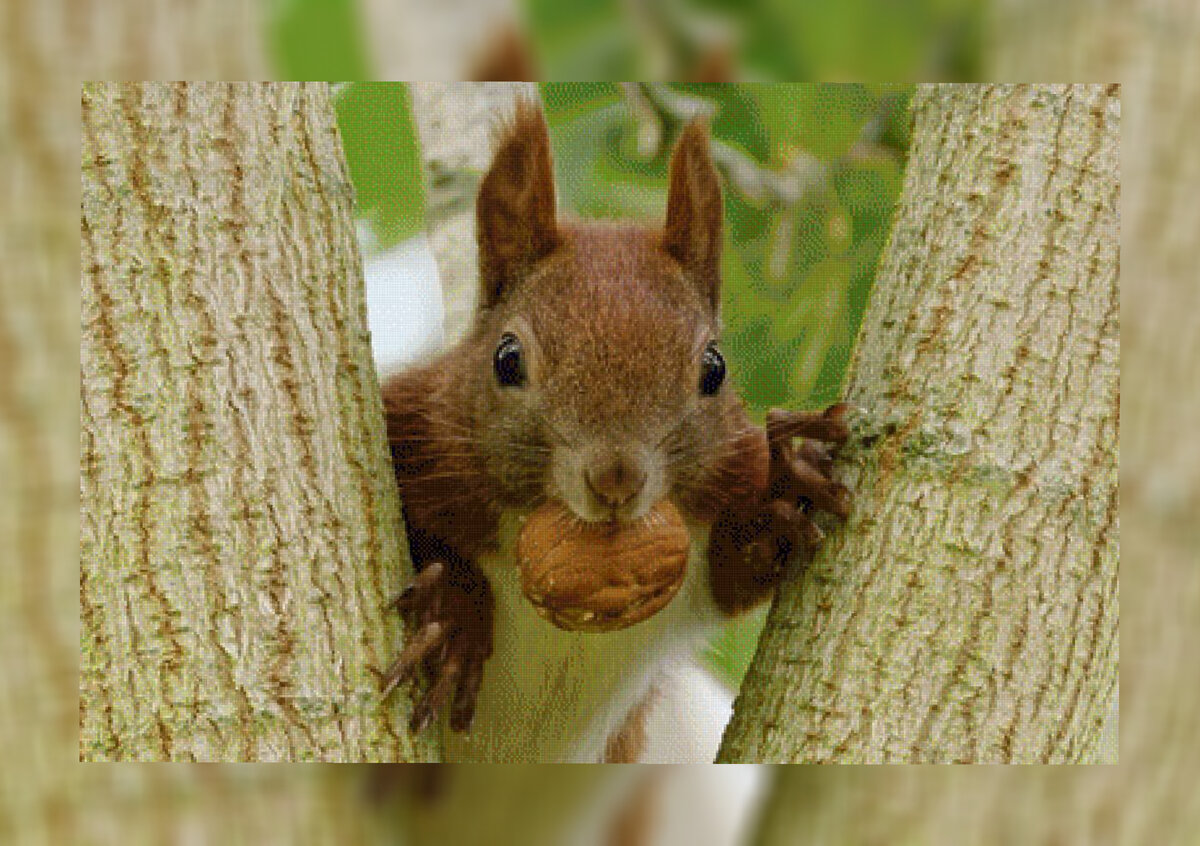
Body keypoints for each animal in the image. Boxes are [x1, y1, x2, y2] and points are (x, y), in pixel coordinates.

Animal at [379, 97, 849, 758]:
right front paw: (453, 615)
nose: (616, 478)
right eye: (506, 359)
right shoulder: (415, 431)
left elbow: (737, 567)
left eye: (715, 367)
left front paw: (786, 492)